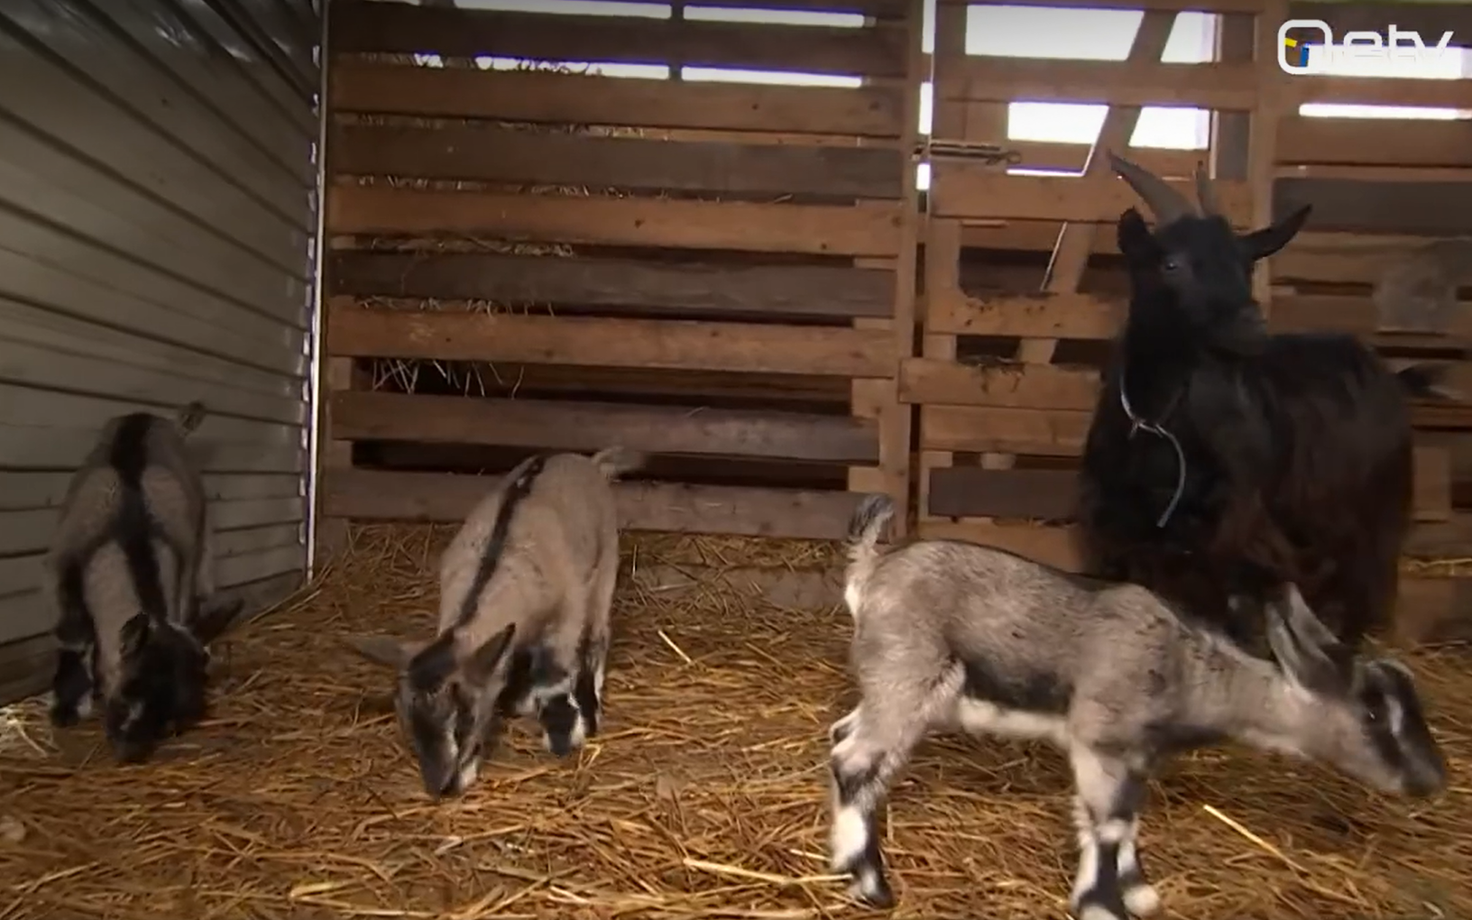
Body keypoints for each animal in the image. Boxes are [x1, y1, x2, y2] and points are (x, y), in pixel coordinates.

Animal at [45, 401, 242, 763]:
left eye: (171, 722)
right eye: (126, 693)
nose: (131, 750)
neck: (130, 530)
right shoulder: (63, 577)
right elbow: (73, 641)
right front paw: (65, 708)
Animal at [346, 447, 641, 801]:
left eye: (464, 720)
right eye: (405, 722)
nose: (440, 786)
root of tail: (585, 461)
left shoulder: (566, 615)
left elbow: (555, 677)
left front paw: (566, 736)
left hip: (604, 565)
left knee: (597, 636)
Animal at [829, 494, 1446, 917]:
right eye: (1373, 713)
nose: (1432, 779)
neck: (1190, 669)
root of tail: (870, 572)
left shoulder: (1137, 754)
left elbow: (1128, 818)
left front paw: (1137, 891)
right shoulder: (1101, 741)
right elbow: (1109, 822)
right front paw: (1101, 904)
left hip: (894, 690)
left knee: (842, 740)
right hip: (906, 681)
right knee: (855, 762)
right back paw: (871, 884)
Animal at [1075, 152, 1454, 657]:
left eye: (1247, 266)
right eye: (1172, 263)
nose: (1253, 325)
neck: (1155, 428)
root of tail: (1389, 375)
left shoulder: (1236, 541)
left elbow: (1237, 626)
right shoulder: (1122, 541)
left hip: (1376, 517)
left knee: (1360, 595)